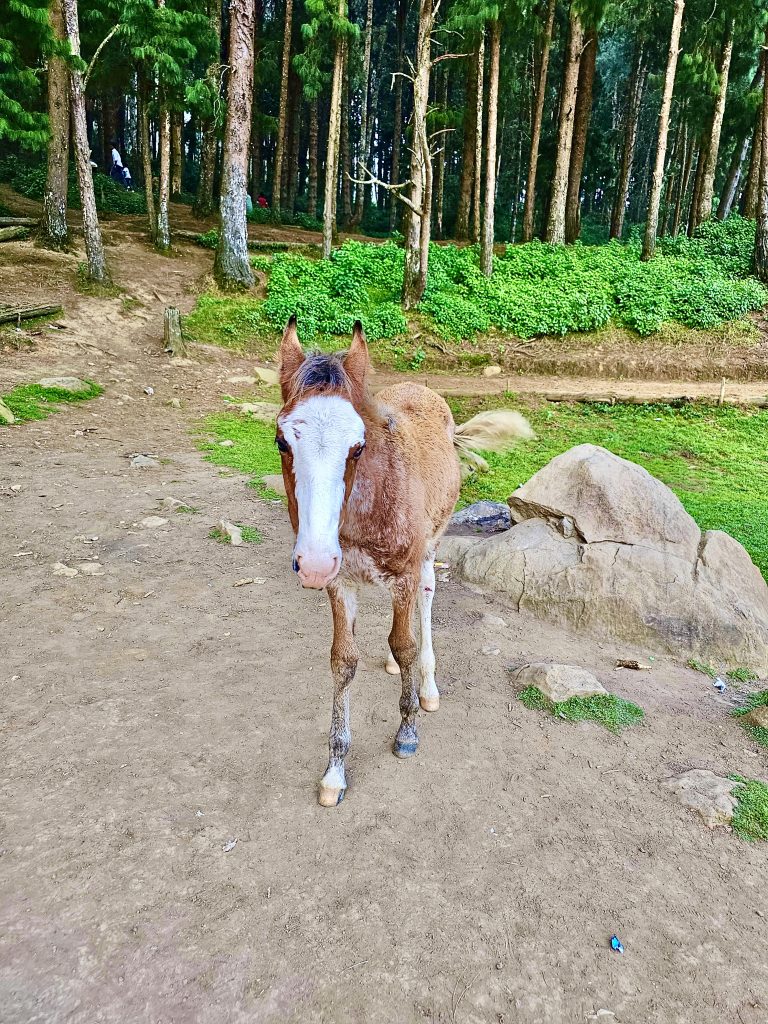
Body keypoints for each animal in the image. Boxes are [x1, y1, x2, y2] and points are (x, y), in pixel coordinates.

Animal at [278, 315, 528, 802]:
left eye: (358, 446)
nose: (313, 562)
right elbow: (343, 660)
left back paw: (426, 686)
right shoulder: (341, 582)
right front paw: (335, 771)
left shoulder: (406, 572)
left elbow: (405, 641)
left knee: (426, 603)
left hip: (429, 549)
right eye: (282, 442)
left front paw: (407, 731)